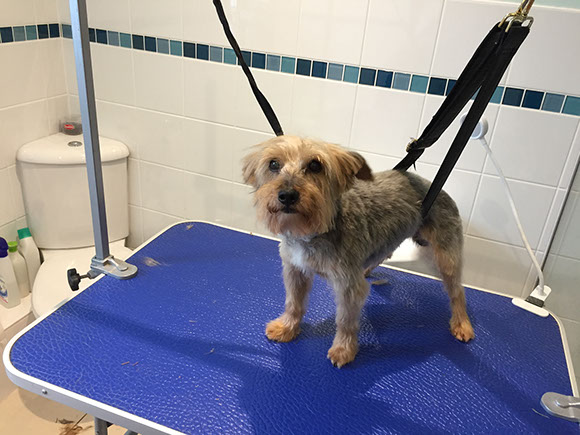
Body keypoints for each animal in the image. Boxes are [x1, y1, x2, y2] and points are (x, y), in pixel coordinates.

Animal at [242, 135, 474, 368]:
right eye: (273, 164)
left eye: (315, 165)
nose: (287, 195)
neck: (316, 231)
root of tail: (435, 188)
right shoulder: (294, 270)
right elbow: (293, 303)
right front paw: (287, 328)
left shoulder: (347, 284)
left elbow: (345, 320)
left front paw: (343, 349)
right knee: (382, 254)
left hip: (446, 255)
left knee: (457, 290)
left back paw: (462, 323)